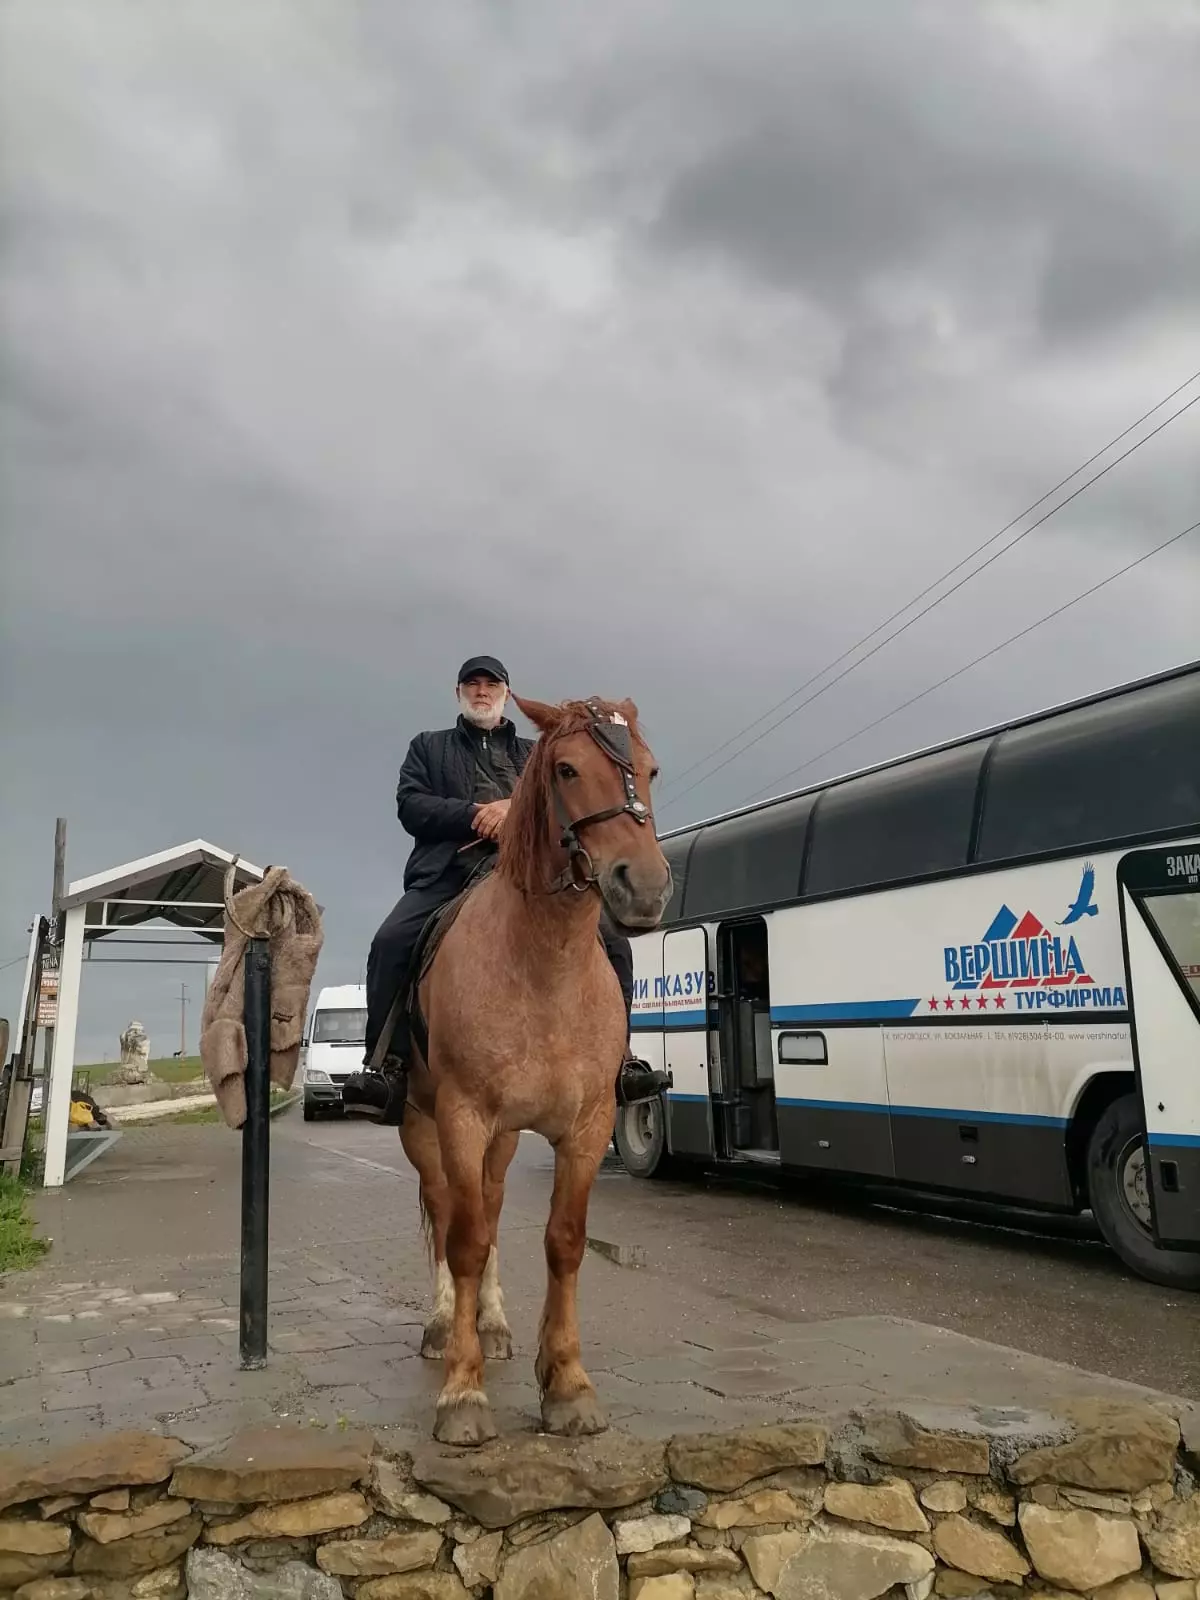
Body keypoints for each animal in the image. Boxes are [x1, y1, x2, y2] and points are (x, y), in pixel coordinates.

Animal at [396, 693, 672, 1446]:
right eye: (569, 769)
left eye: (650, 769)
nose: (644, 888)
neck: (544, 966)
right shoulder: (461, 1117)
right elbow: (462, 1241)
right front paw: (462, 1393)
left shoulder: (586, 1126)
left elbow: (564, 1243)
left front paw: (567, 1385)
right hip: (424, 1126)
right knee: (447, 1208)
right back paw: (447, 1324)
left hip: (501, 1140)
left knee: (487, 1208)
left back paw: (490, 1322)